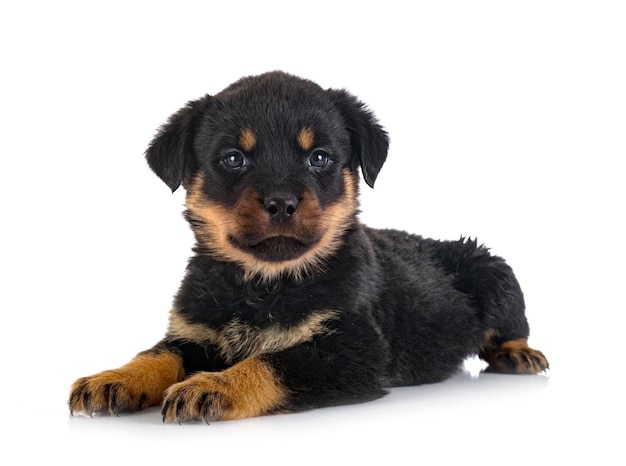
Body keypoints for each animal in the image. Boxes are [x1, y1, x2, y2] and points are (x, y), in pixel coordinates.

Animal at [68, 71, 544, 424]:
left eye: (319, 157)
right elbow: (157, 354)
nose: (281, 202)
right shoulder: (193, 332)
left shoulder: (352, 347)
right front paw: (114, 378)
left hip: (494, 271)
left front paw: (212, 385)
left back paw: (518, 354)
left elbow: (271, 362)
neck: (263, 284)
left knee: (510, 325)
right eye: (233, 158)